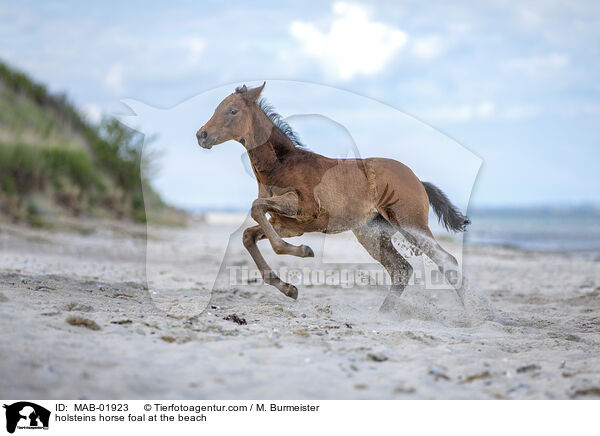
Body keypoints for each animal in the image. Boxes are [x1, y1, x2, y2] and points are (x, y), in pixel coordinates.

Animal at [197, 83, 468, 304]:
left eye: (232, 111)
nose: (202, 135)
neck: (281, 164)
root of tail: (418, 180)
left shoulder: (305, 207)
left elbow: (256, 208)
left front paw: (304, 251)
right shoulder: (287, 224)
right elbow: (249, 235)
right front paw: (288, 288)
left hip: (410, 224)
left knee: (447, 261)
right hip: (372, 235)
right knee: (401, 269)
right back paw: (386, 313)